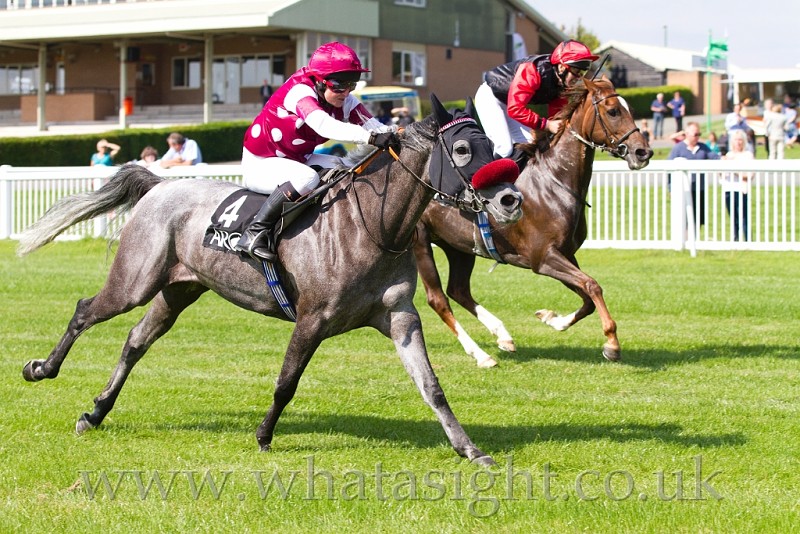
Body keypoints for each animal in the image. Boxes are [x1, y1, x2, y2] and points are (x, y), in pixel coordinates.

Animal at [17, 96, 524, 466]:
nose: (511, 200)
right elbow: (287, 382)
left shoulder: (400, 317)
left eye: (493, 148)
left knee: (136, 340)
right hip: (135, 281)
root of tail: (160, 184)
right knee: (86, 311)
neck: (373, 226)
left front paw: (469, 448)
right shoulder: (312, 318)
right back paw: (42, 369)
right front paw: (263, 435)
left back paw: (96, 411)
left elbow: (431, 386)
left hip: (179, 290)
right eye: (463, 150)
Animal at [413, 77, 653, 367]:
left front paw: (553, 319)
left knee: (458, 290)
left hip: (458, 245)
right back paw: (481, 354)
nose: (643, 152)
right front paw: (612, 343)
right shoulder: (543, 257)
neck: (554, 180)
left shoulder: (565, 254)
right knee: (438, 299)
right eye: (613, 111)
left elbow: (587, 297)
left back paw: (503, 336)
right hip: (421, 242)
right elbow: (592, 285)